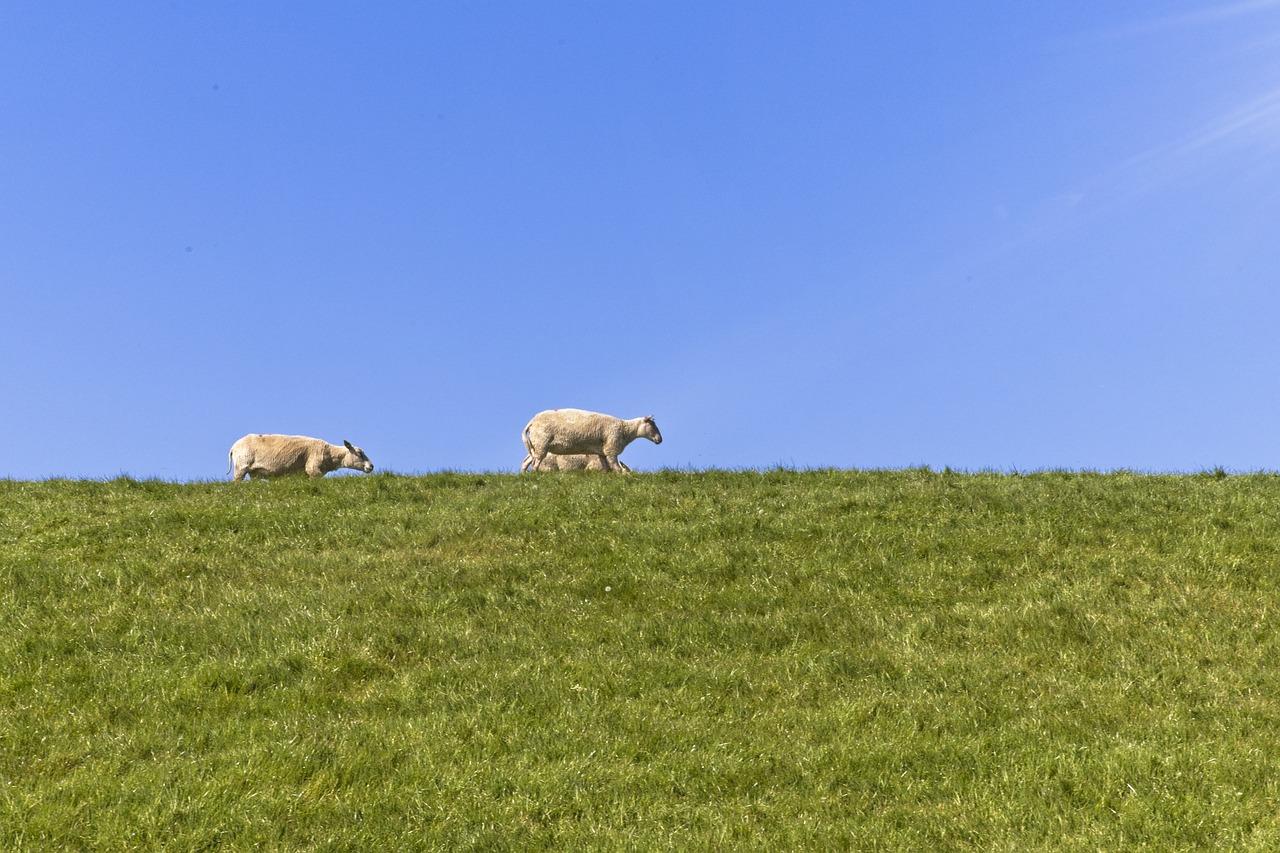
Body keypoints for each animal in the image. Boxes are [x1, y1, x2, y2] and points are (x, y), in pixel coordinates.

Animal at [227, 432, 373, 479]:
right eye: (360, 453)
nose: (371, 466)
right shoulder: (313, 467)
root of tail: (233, 447)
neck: (330, 454)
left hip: (254, 472)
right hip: (241, 466)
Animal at [519, 407, 665, 471]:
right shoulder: (611, 448)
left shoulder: (602, 452)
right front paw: (624, 477)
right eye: (652, 425)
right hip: (541, 443)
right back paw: (536, 475)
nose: (660, 440)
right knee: (535, 463)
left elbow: (606, 469)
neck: (626, 430)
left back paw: (524, 475)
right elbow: (616, 467)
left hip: (536, 445)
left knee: (527, 462)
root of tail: (532, 422)